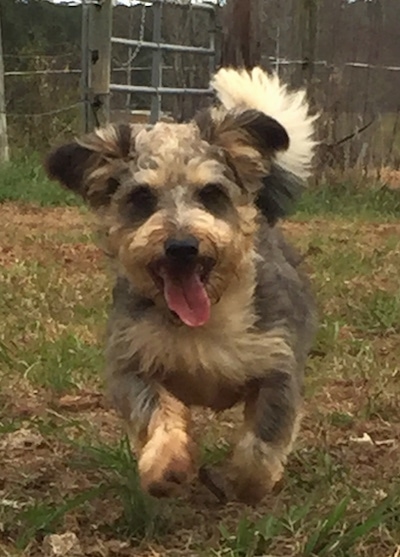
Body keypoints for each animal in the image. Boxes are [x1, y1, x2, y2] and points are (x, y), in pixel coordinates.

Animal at [44, 66, 318, 504]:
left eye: (211, 193)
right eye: (141, 197)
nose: (182, 247)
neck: (203, 322)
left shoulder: (278, 360)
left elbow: (264, 437)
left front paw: (249, 482)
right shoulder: (132, 360)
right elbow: (155, 411)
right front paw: (167, 465)